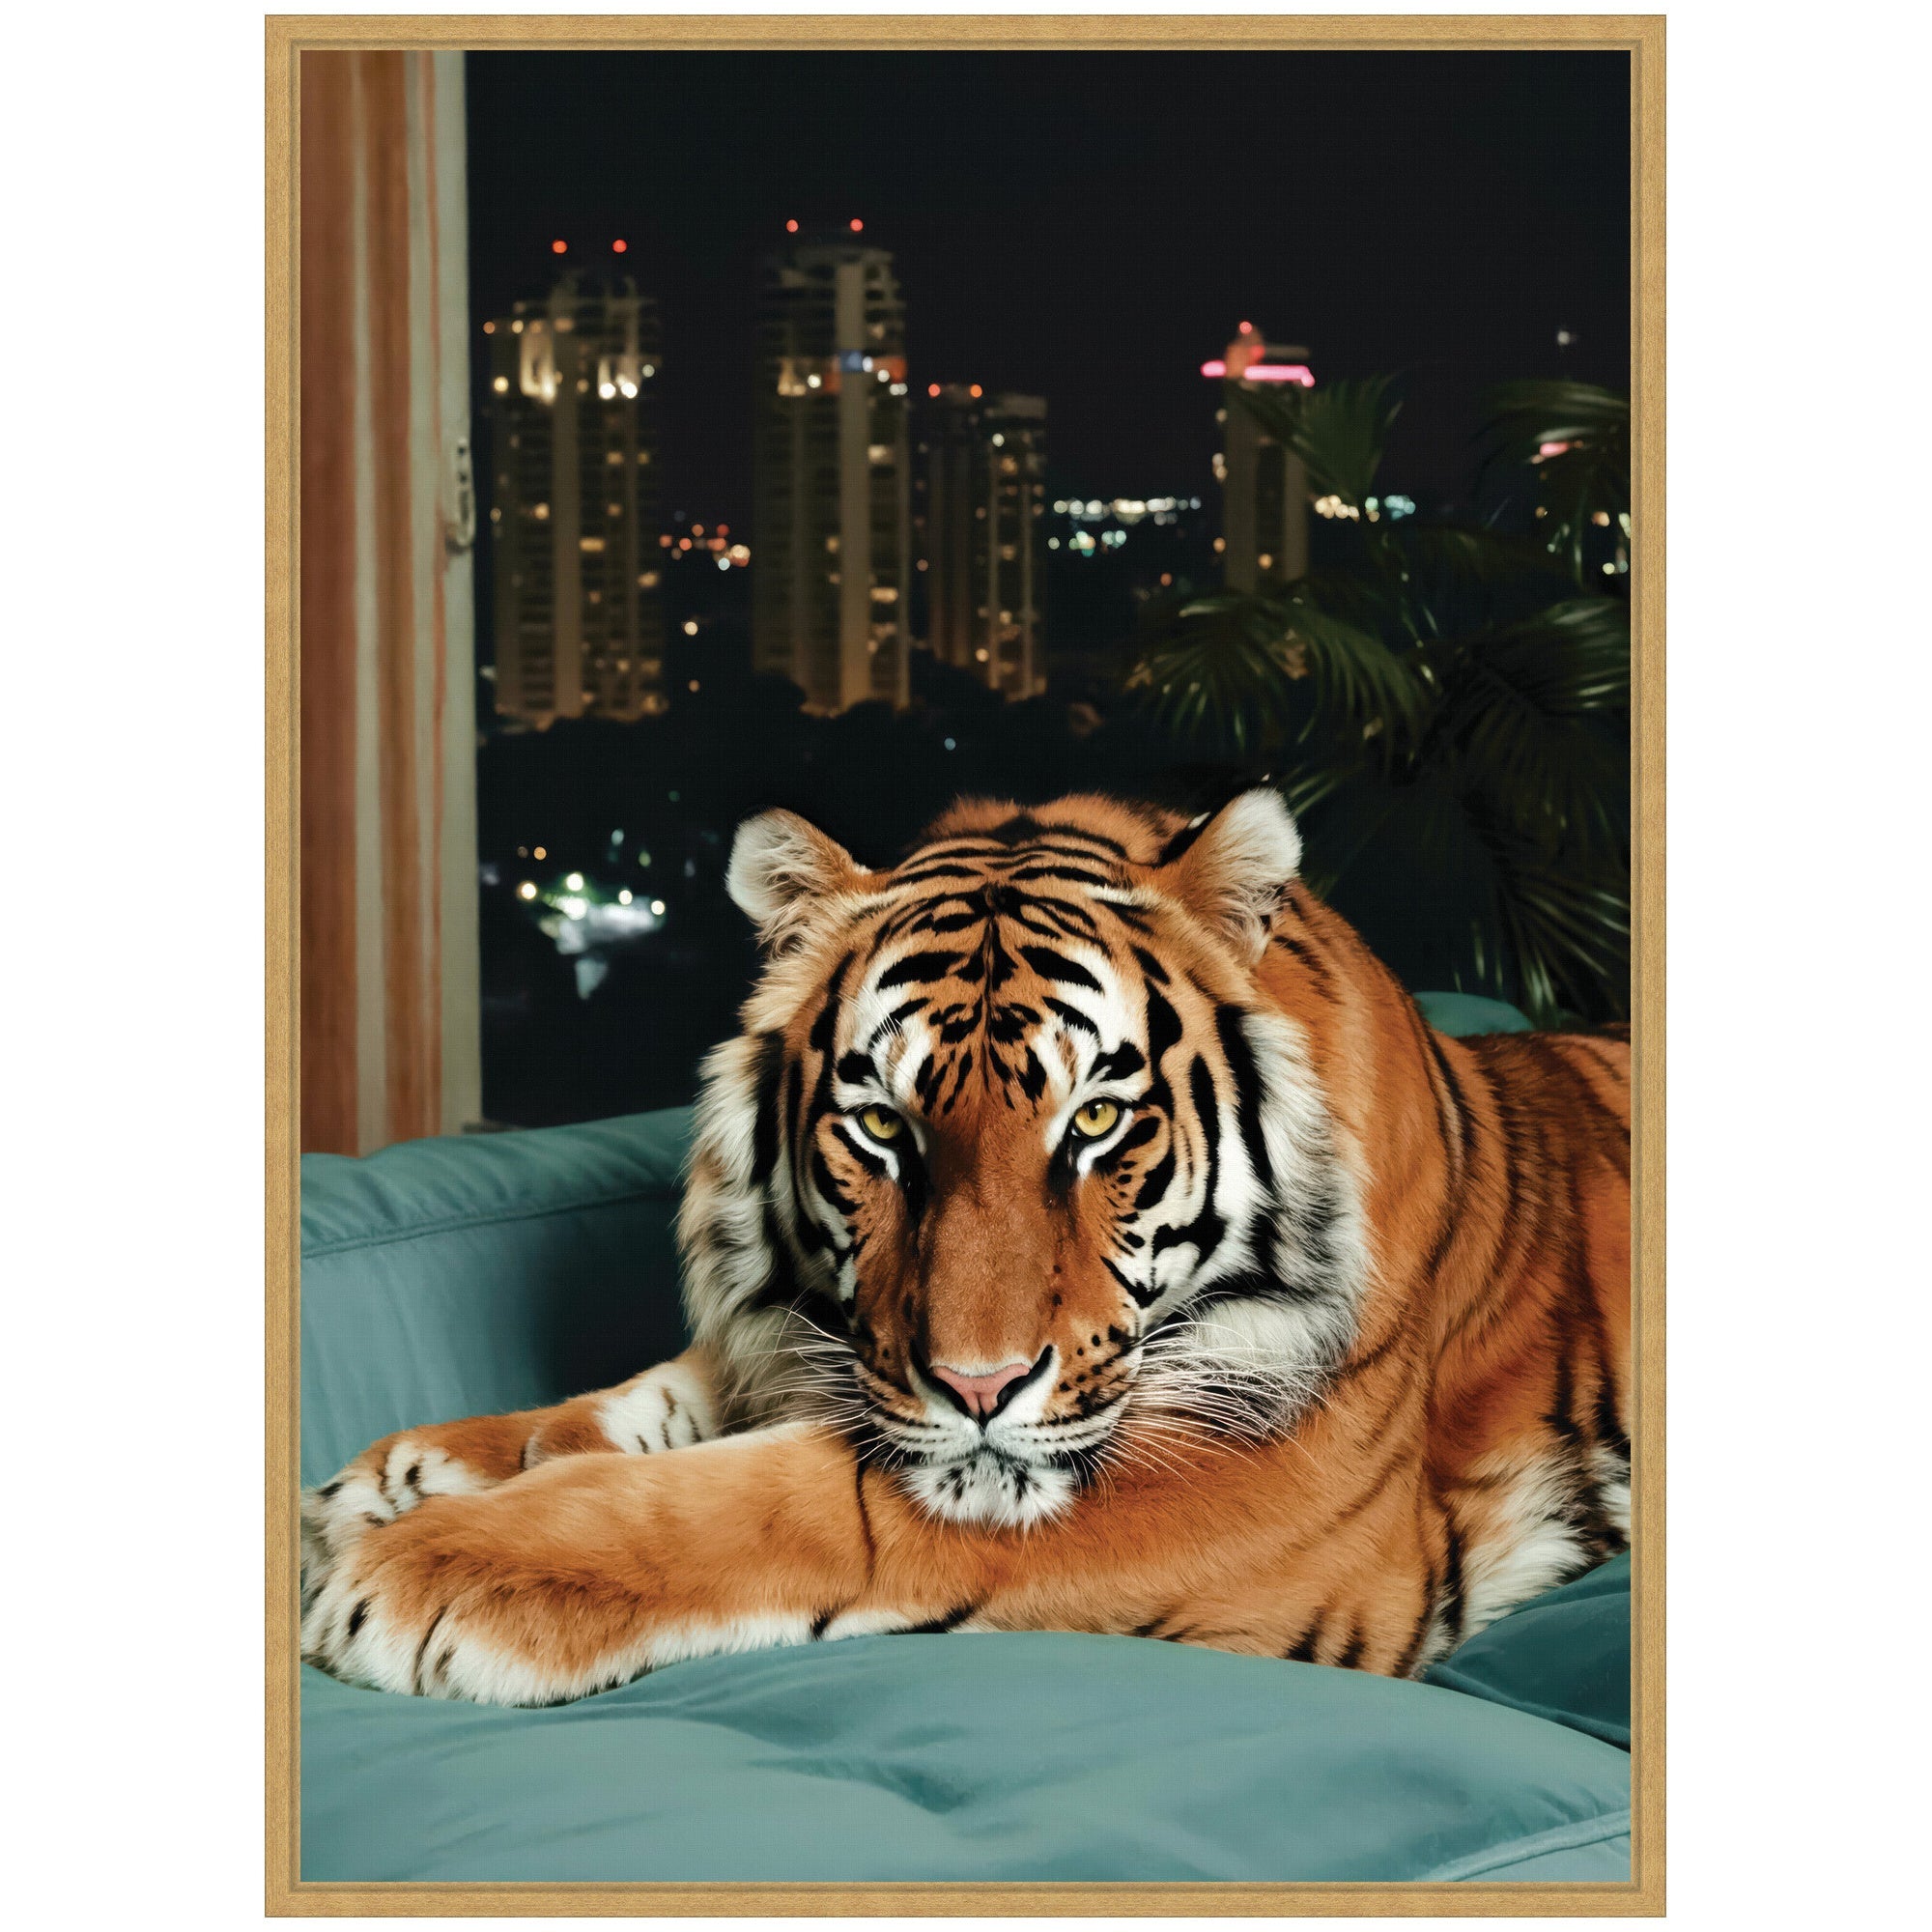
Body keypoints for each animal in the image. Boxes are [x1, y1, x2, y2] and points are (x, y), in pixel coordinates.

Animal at [302, 788, 1632, 1708]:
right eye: (883, 1126)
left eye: (1094, 1120)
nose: (979, 1385)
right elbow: (650, 1395)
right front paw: (414, 1473)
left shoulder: (1253, 1481)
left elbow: (776, 1494)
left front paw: (419, 1568)